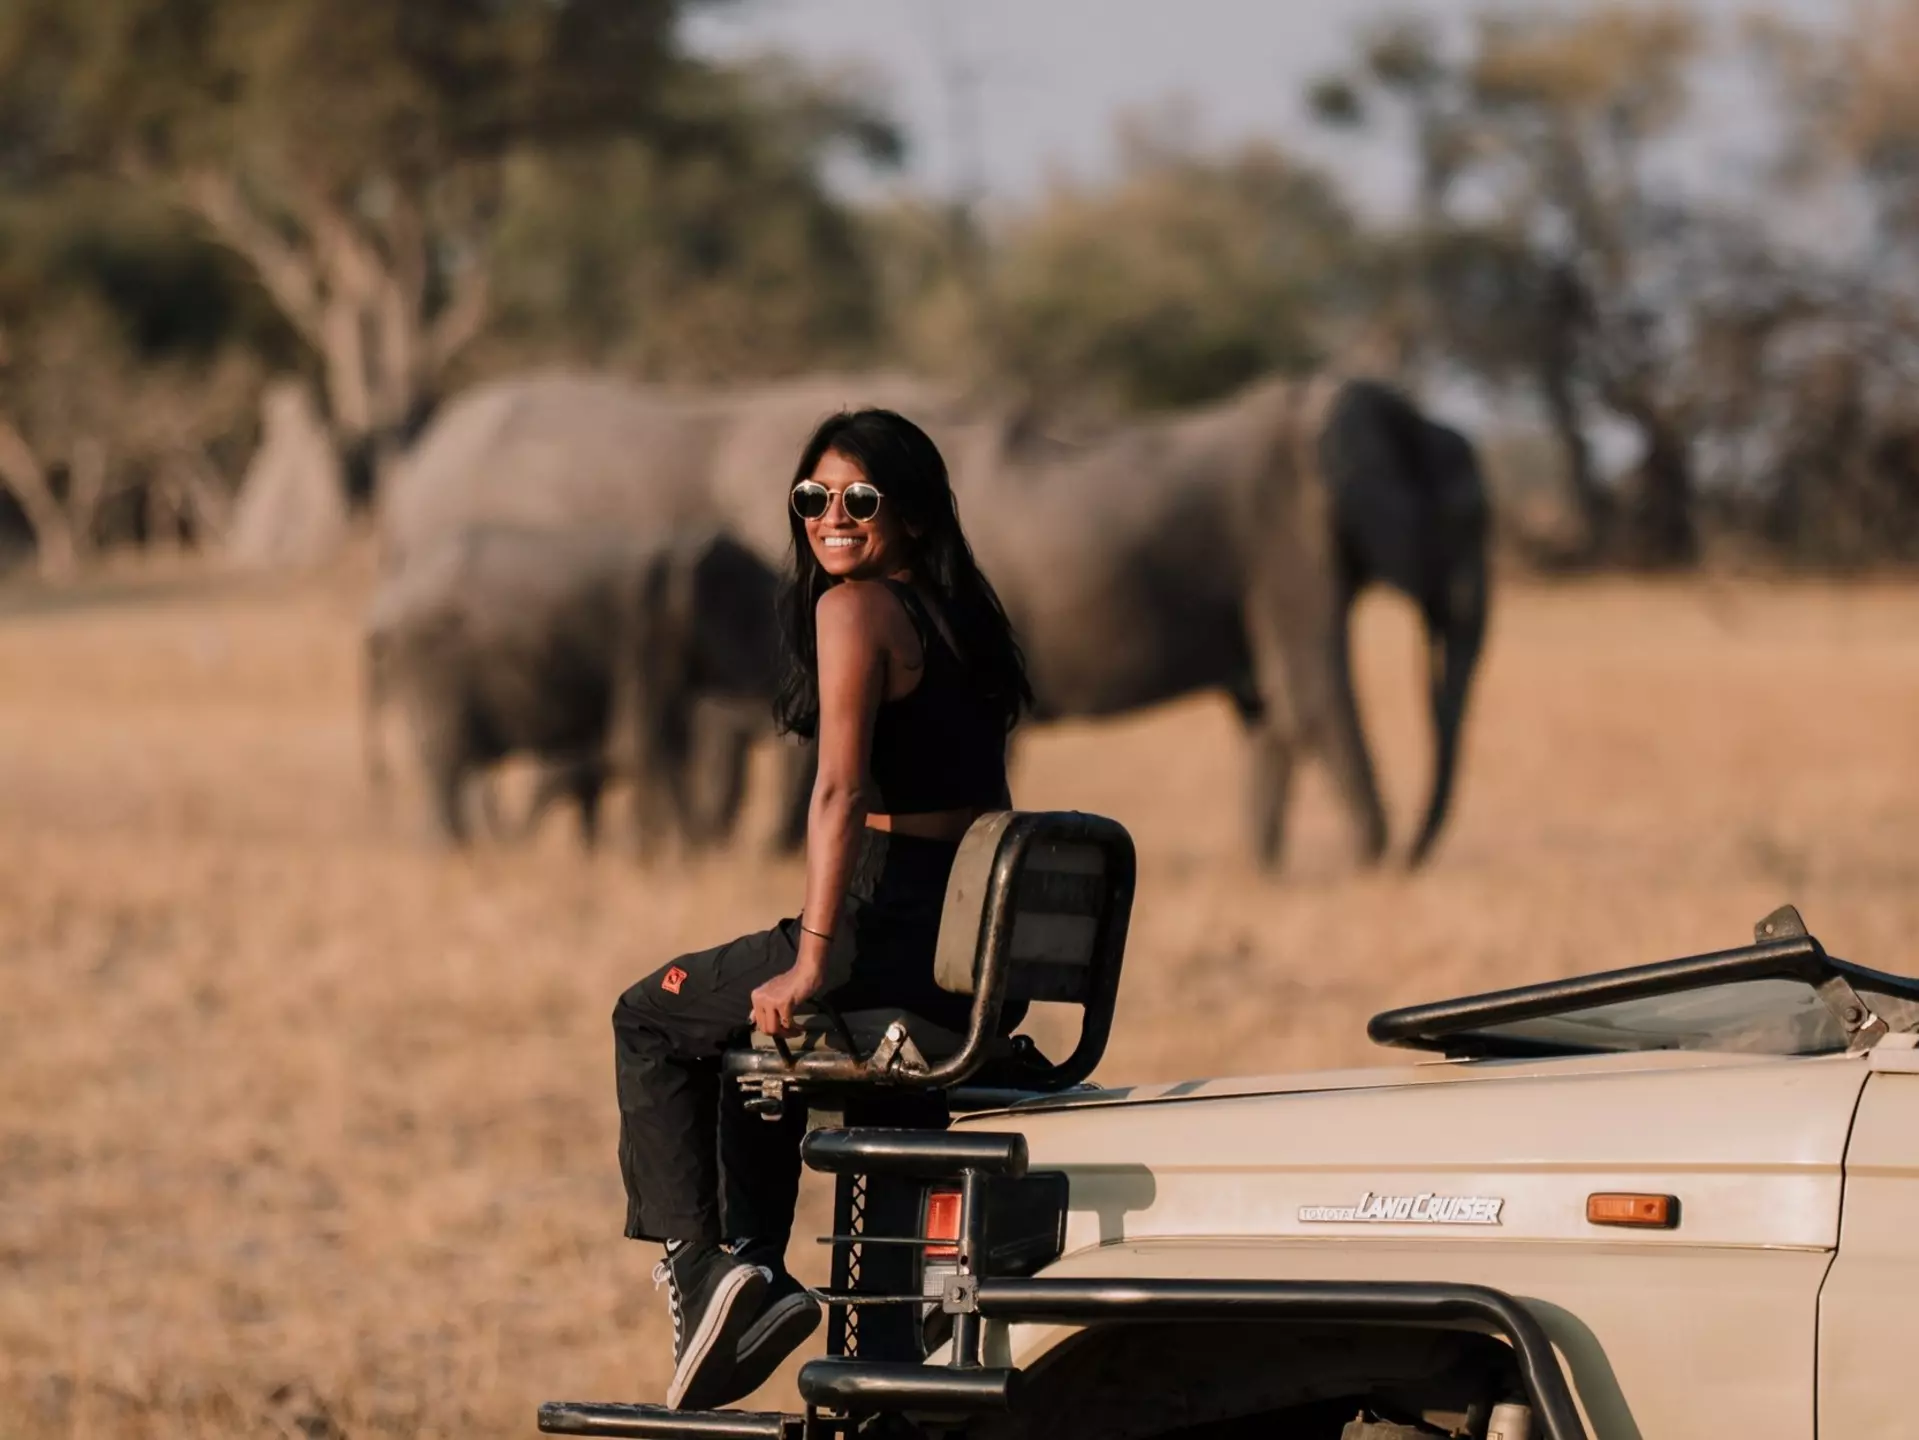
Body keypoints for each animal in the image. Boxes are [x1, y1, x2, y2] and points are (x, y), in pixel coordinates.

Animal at [363, 522, 800, 854]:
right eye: (771, 619)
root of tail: (384, 605)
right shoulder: (645, 635)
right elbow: (643, 745)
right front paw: (679, 859)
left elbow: (668, 745)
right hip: (431, 662)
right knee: (447, 760)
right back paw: (458, 854)